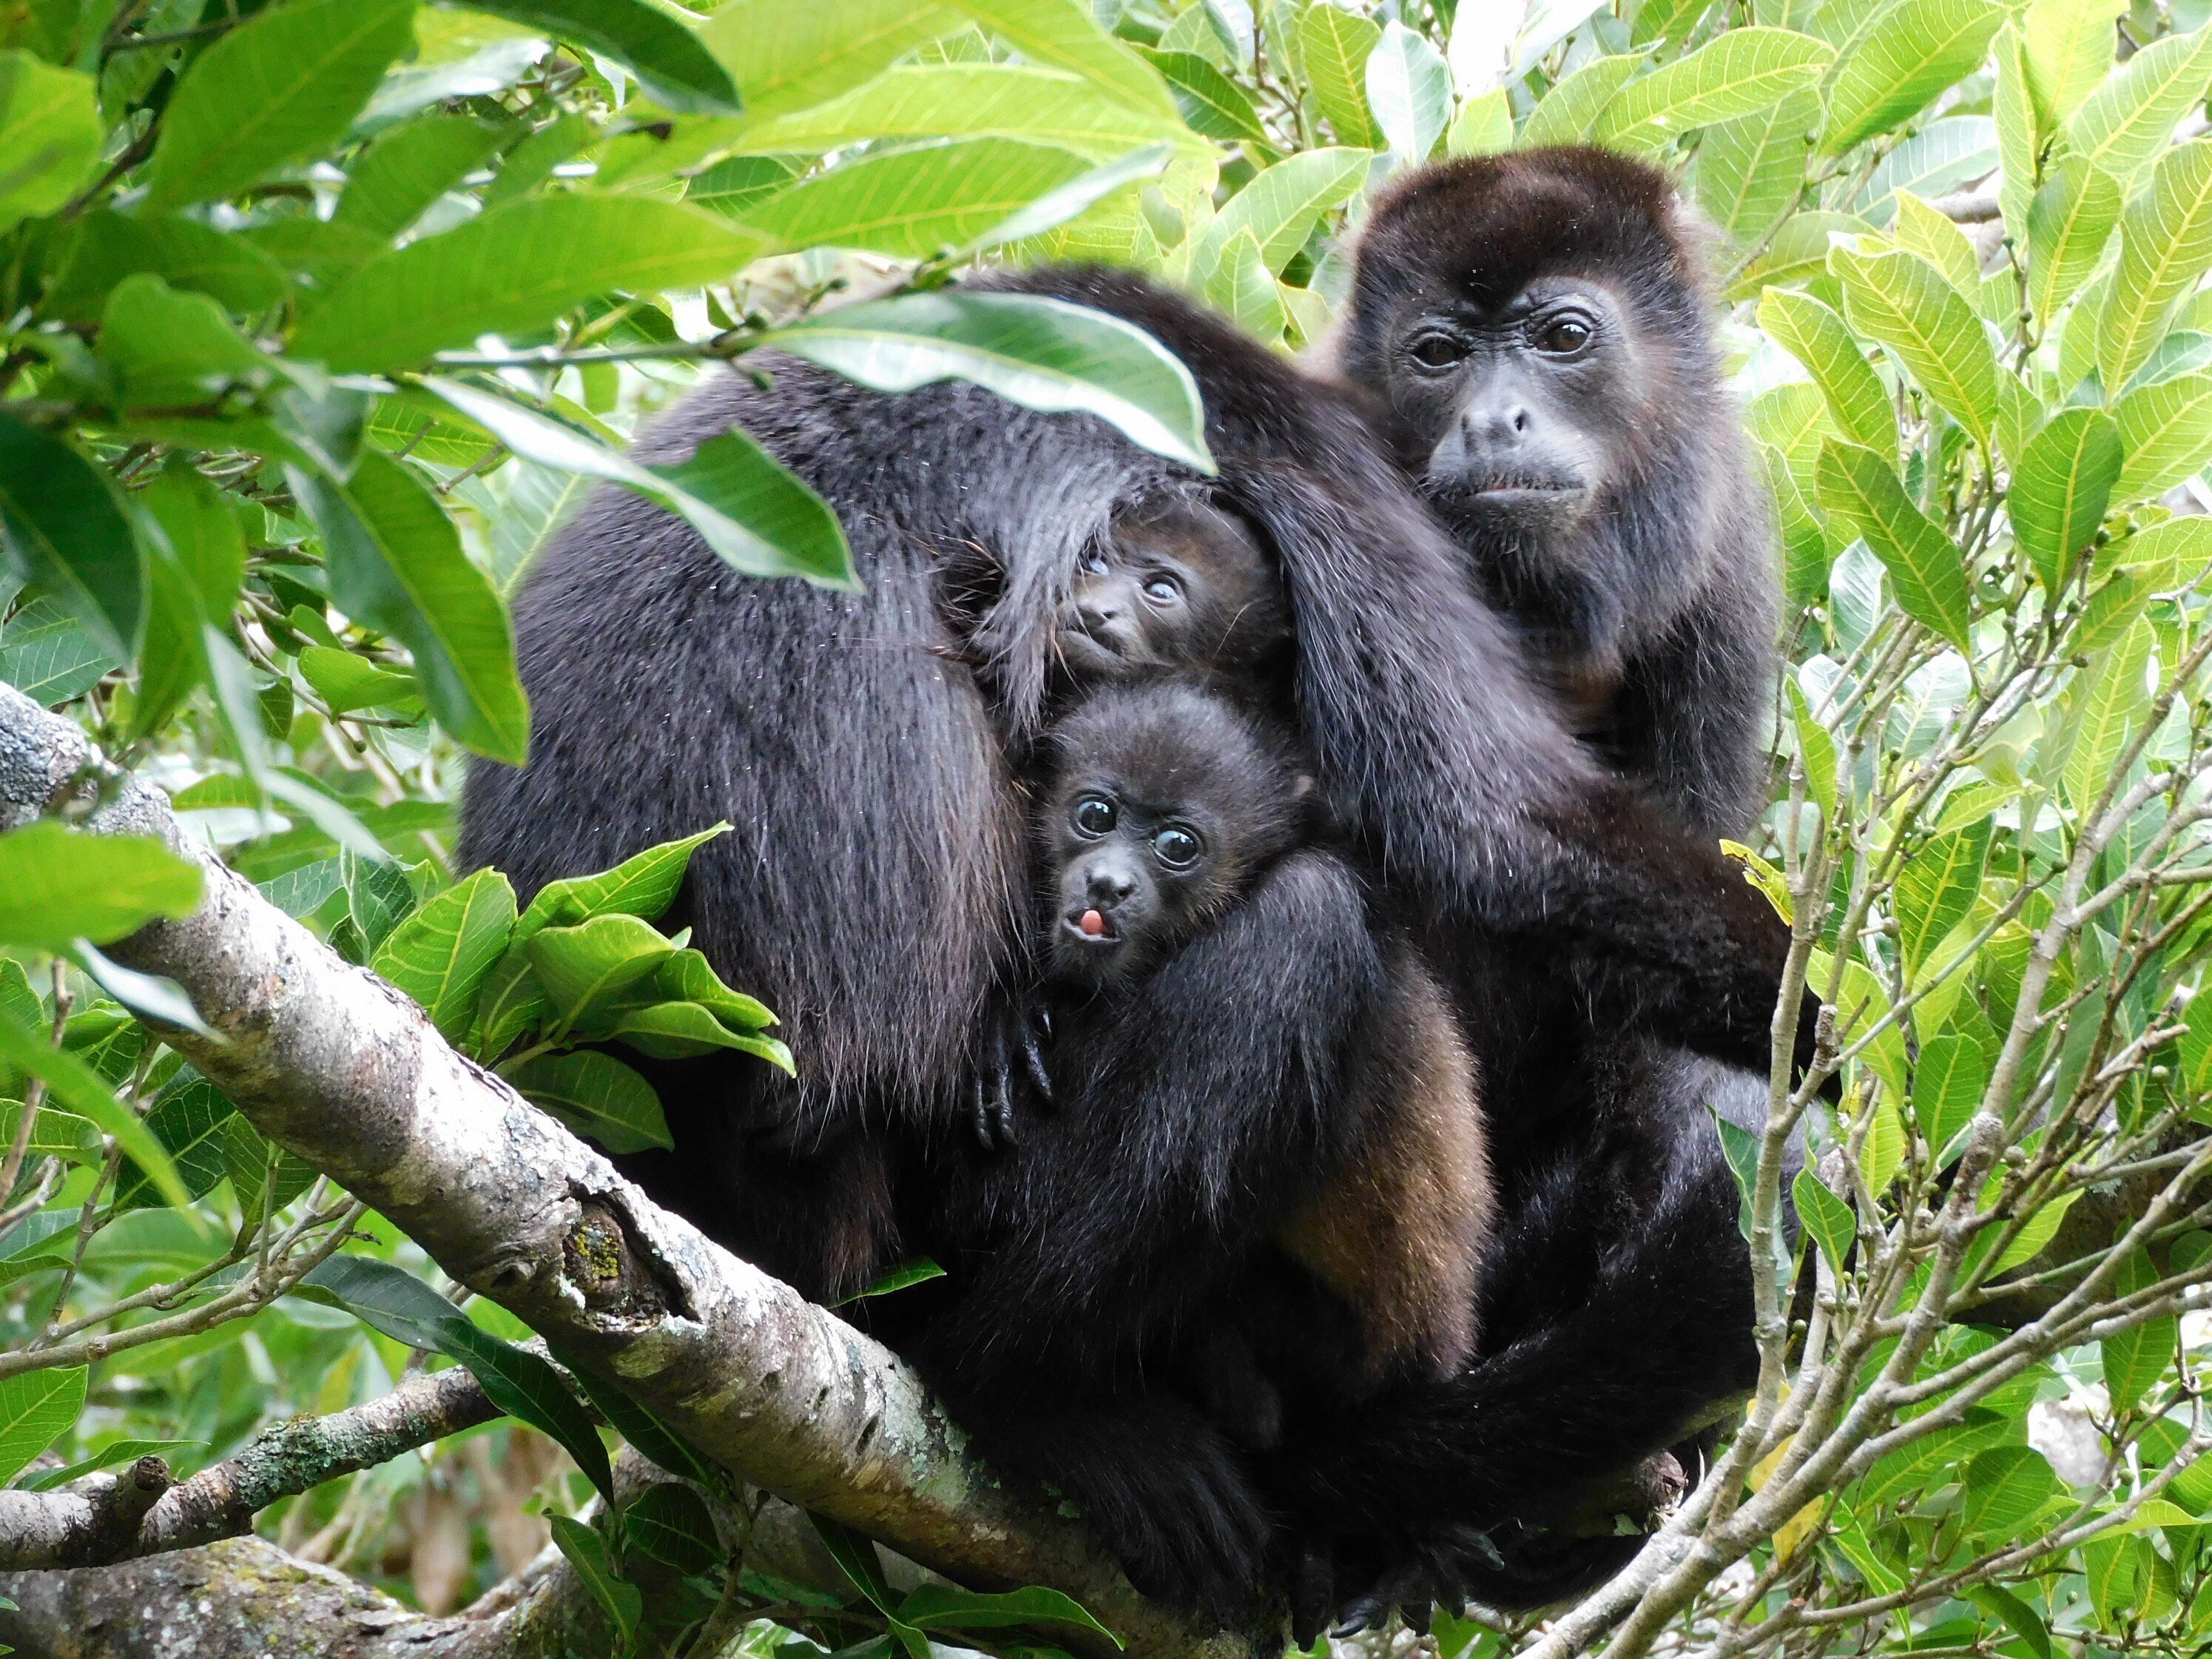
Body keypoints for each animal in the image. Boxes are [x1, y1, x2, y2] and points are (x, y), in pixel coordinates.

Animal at [459, 261, 1817, 1613]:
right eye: (1445, 357)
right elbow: (1496, 825)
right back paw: (1049, 1401)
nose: (1505, 432)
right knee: (1306, 938)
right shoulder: (1295, 449)